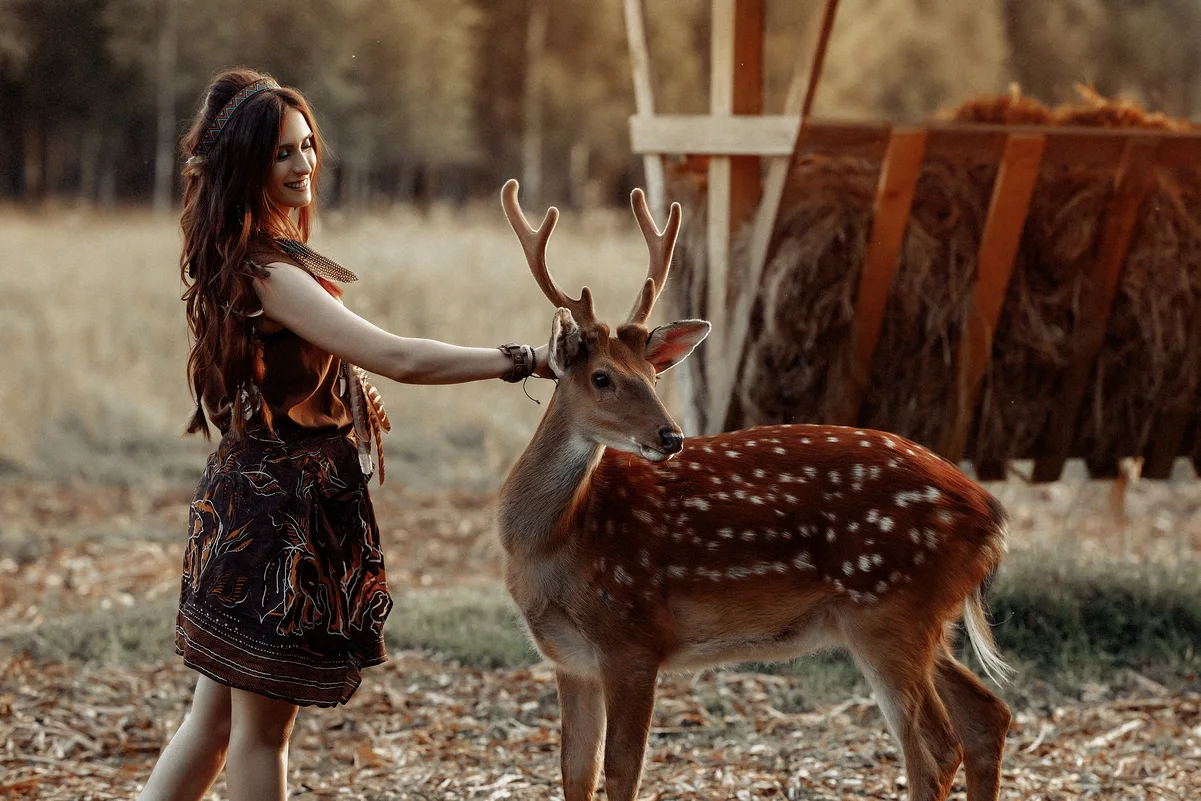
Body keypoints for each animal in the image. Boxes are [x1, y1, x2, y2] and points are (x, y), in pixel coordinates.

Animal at [494, 178, 1013, 801]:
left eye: (653, 376)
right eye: (602, 377)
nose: (671, 436)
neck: (554, 544)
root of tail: (989, 515)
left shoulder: (632, 639)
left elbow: (621, 774)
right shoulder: (570, 659)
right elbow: (577, 773)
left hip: (891, 609)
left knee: (936, 749)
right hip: (927, 619)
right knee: (987, 717)